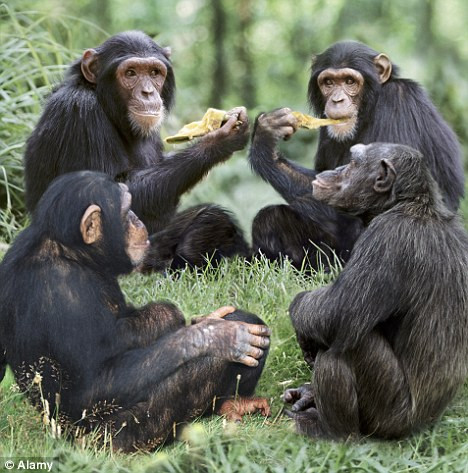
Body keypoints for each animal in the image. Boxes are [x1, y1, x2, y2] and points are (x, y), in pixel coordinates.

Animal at [0, 171, 270, 452]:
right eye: (126, 210)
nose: (138, 220)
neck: (73, 252)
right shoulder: (63, 287)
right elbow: (98, 385)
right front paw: (217, 335)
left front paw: (205, 321)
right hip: (119, 435)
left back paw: (233, 403)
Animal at [249, 41, 464, 270]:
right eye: (328, 82)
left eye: (350, 81)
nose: (337, 99)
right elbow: (321, 179)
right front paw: (266, 135)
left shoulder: (398, 102)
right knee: (269, 219)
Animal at [282, 141, 468, 438]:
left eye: (353, 162)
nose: (336, 169)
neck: (409, 204)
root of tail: (424, 425)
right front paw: (306, 393)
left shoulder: (386, 239)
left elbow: (338, 311)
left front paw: (301, 316)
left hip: (388, 414)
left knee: (344, 346)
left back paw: (329, 431)